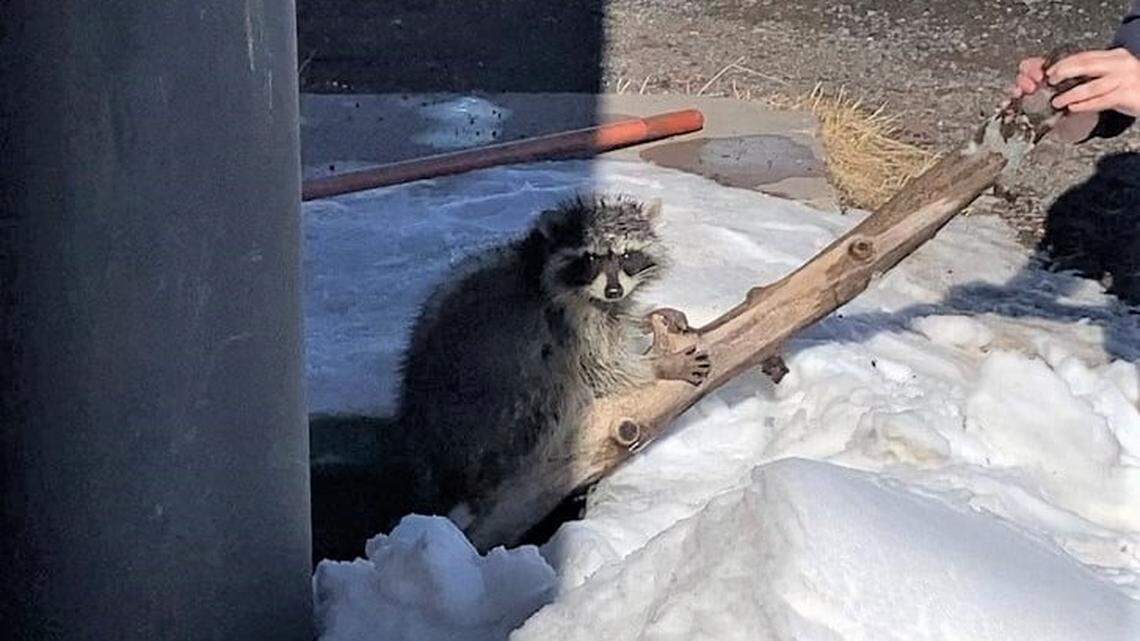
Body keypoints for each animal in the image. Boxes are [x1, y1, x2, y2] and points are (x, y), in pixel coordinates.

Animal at [392, 195, 709, 529]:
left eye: (626, 255)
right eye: (592, 258)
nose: (614, 290)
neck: (538, 261)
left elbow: (620, 320)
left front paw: (646, 317)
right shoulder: (568, 321)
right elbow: (603, 367)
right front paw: (663, 364)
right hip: (498, 413)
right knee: (550, 390)